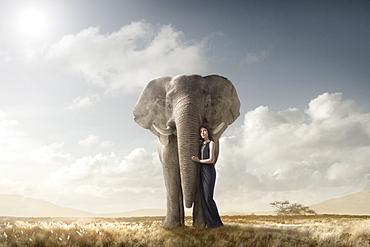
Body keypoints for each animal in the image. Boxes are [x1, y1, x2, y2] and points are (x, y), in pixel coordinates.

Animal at [133, 74, 240, 229]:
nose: (188, 205)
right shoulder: (167, 145)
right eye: (169, 105)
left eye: (207, 105)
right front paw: (170, 227)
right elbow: (170, 171)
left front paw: (200, 226)